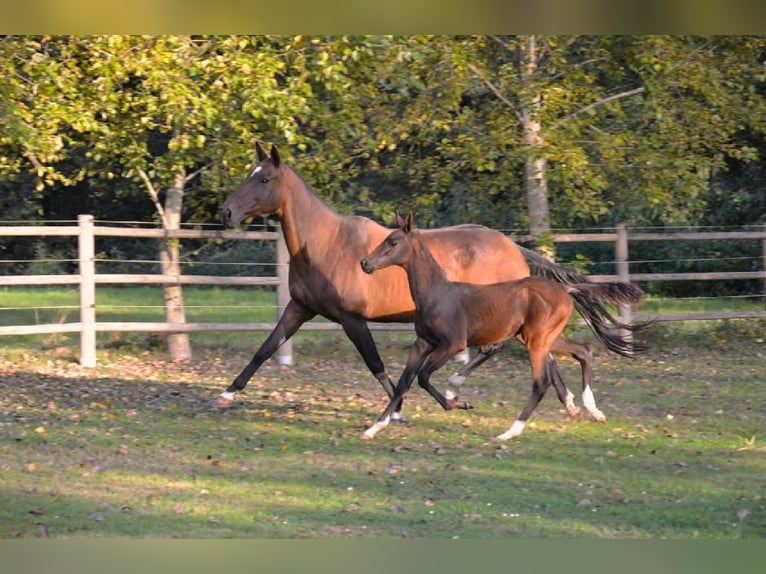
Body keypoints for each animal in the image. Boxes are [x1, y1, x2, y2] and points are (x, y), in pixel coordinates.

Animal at [220, 143, 640, 420]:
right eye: (248, 175)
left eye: (264, 178)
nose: (226, 212)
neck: (326, 244)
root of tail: (513, 247)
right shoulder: (300, 308)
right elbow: (265, 349)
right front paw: (227, 393)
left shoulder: (352, 319)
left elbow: (376, 364)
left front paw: (399, 411)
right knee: (547, 354)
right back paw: (572, 405)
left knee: (511, 351)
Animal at [362, 214, 648, 444]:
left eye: (393, 241)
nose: (365, 263)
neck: (436, 292)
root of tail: (565, 289)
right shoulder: (422, 343)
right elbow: (404, 382)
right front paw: (375, 427)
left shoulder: (452, 344)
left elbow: (422, 378)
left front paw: (461, 403)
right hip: (543, 338)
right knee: (584, 350)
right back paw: (592, 410)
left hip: (536, 341)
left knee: (540, 383)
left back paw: (510, 432)